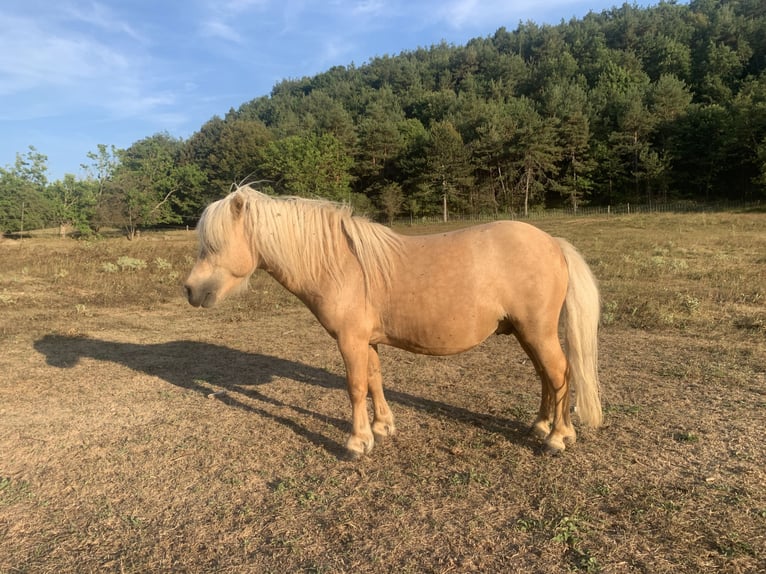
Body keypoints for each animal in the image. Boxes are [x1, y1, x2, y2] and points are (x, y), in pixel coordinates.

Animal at [186, 186, 608, 460]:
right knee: (546, 376)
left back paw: (558, 436)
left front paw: (357, 442)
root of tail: (552, 243)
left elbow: (356, 387)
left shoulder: (349, 341)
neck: (341, 265)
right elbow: (374, 380)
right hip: (527, 333)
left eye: (215, 244)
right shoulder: (367, 341)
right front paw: (383, 427)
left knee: (559, 373)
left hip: (537, 331)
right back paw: (540, 425)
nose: (190, 290)